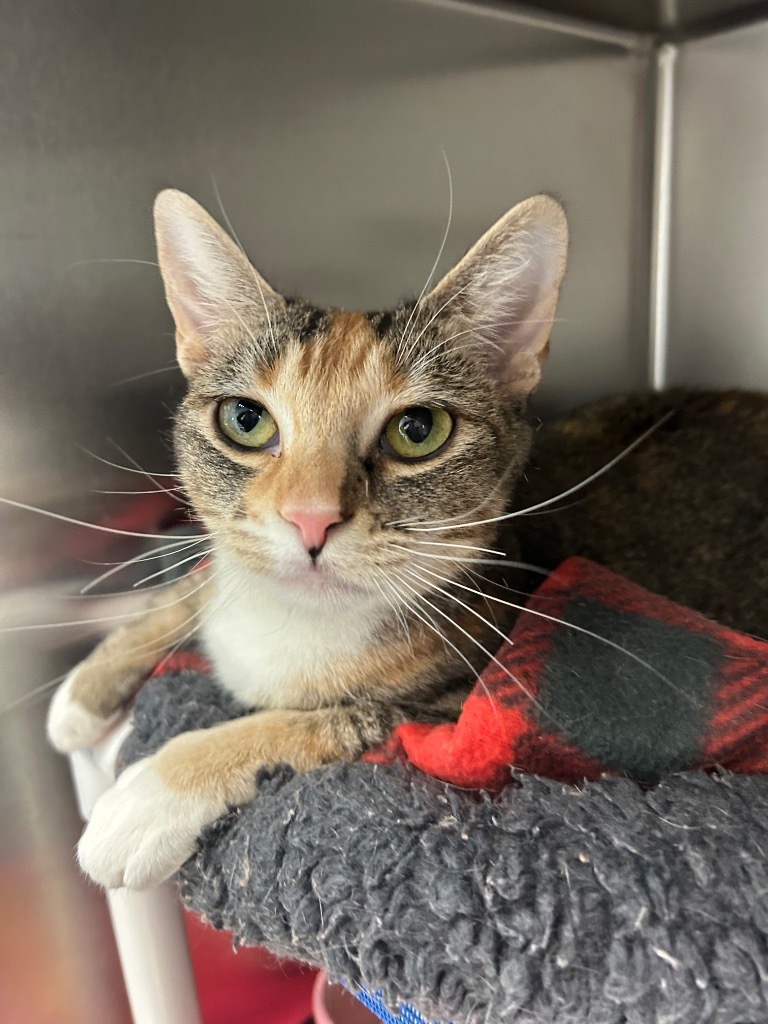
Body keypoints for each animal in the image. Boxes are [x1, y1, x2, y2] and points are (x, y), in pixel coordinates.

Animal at [43, 190, 573, 888]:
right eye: (245, 419)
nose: (311, 517)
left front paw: (151, 795)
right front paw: (83, 690)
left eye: (418, 429)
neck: (296, 620)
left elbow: (328, 719)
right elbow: (194, 583)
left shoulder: (457, 710)